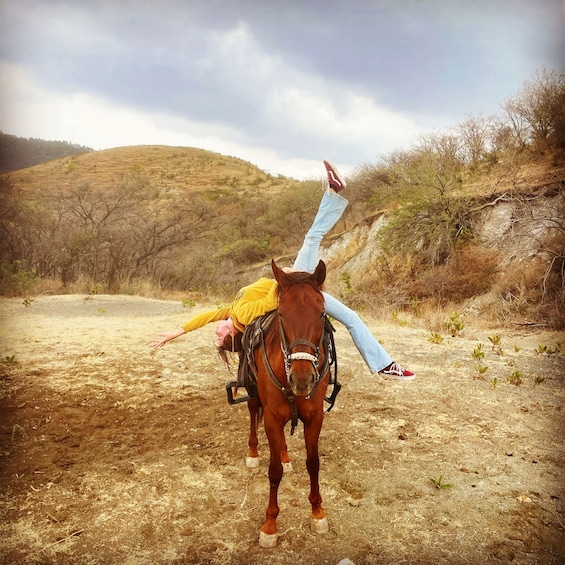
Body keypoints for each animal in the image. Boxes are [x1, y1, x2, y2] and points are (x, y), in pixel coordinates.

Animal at [245, 260, 332, 548]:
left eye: (321, 314)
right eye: (282, 315)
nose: (302, 379)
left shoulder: (315, 417)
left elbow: (313, 463)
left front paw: (317, 512)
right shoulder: (272, 418)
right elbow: (273, 472)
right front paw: (270, 524)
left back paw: (284, 455)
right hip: (253, 394)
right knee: (253, 414)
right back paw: (253, 452)